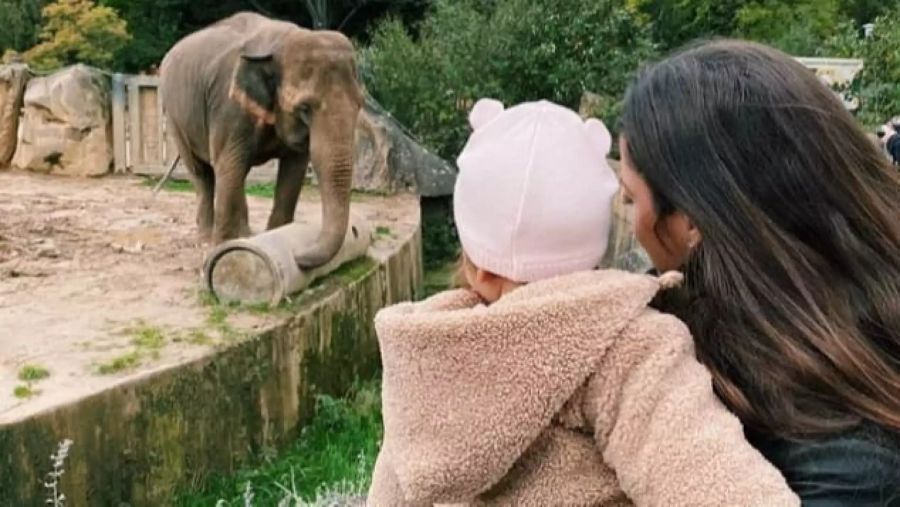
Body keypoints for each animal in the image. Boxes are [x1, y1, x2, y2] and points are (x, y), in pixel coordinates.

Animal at [160, 10, 364, 270]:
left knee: (236, 175)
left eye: (360, 104)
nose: (299, 257)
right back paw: (207, 238)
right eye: (304, 109)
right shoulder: (229, 107)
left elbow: (293, 171)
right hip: (176, 116)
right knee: (204, 173)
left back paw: (246, 235)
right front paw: (218, 255)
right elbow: (228, 164)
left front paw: (277, 237)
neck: (283, 41)